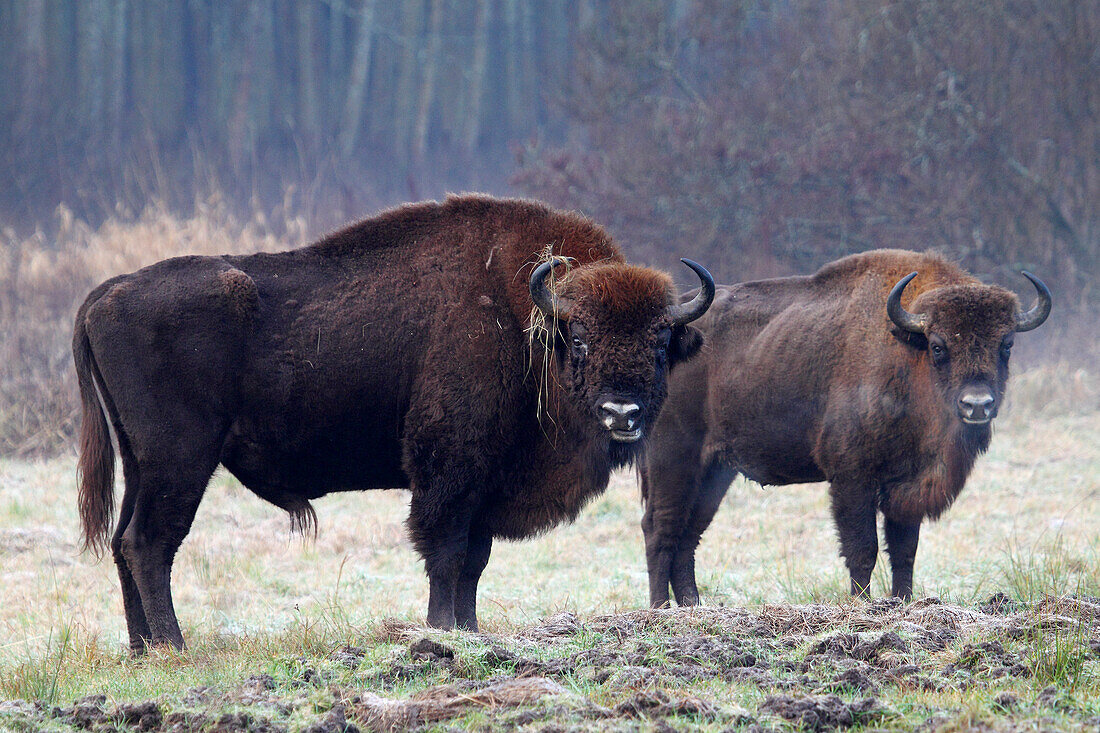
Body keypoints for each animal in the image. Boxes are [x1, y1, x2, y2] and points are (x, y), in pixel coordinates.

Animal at [75, 193, 712, 651]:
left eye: (661, 341)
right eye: (579, 339)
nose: (622, 413)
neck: (521, 316)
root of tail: (106, 292)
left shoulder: (483, 486)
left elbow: (473, 561)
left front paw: (469, 630)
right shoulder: (448, 475)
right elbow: (446, 553)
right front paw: (440, 630)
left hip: (142, 463)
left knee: (123, 541)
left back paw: (141, 648)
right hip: (181, 461)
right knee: (149, 542)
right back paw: (174, 647)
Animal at [642, 248, 1051, 603]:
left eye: (1006, 344)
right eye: (938, 346)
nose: (977, 404)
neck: (907, 352)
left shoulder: (905, 486)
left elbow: (904, 550)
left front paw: (903, 602)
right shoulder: (853, 477)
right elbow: (862, 549)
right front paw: (862, 603)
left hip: (716, 471)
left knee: (688, 532)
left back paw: (692, 605)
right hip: (673, 460)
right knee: (660, 528)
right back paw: (661, 608)